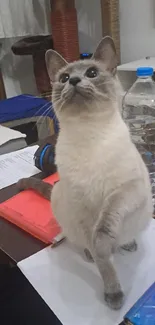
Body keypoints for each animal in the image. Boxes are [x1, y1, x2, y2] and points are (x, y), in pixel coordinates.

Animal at [17, 36, 153, 308]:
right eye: (64, 78)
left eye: (91, 73)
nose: (74, 81)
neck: (89, 133)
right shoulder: (82, 207)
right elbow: (100, 253)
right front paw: (113, 293)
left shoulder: (124, 192)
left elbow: (104, 229)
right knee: (83, 242)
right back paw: (92, 253)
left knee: (120, 235)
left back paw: (127, 243)